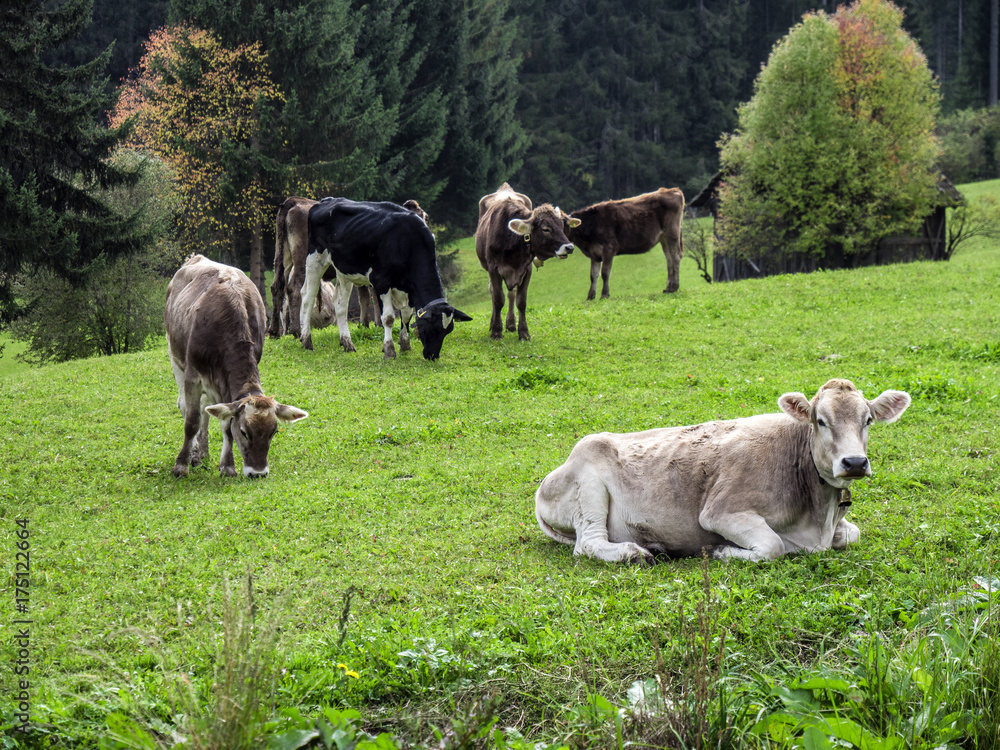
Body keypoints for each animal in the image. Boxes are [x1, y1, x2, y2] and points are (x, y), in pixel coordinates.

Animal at [166, 255, 308, 478]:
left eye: (273, 432)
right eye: (244, 432)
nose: (258, 473)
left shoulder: (225, 384)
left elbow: (225, 423)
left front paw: (227, 466)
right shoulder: (193, 375)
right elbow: (192, 421)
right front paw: (181, 465)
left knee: (205, 410)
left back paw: (201, 454)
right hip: (175, 356)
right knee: (186, 407)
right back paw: (193, 454)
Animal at [300, 197, 470, 360]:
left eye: (447, 331)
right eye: (433, 328)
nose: (433, 356)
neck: (408, 241)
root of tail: (326, 201)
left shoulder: (409, 287)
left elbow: (406, 314)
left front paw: (405, 344)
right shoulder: (381, 281)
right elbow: (388, 317)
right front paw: (389, 350)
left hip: (344, 269)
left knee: (340, 304)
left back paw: (347, 344)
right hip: (315, 259)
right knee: (307, 297)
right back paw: (306, 341)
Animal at [474, 183, 580, 340]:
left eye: (562, 227)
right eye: (546, 229)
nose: (569, 247)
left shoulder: (526, 269)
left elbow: (521, 301)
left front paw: (523, 332)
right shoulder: (494, 269)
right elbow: (498, 299)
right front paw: (496, 331)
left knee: (511, 293)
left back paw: (511, 324)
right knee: (493, 292)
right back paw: (493, 323)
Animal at [535, 379, 911, 564]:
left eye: (868, 420)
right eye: (820, 421)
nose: (854, 463)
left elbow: (853, 534)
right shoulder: (720, 512)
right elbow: (772, 546)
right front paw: (720, 552)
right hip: (589, 484)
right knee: (587, 543)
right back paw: (633, 553)